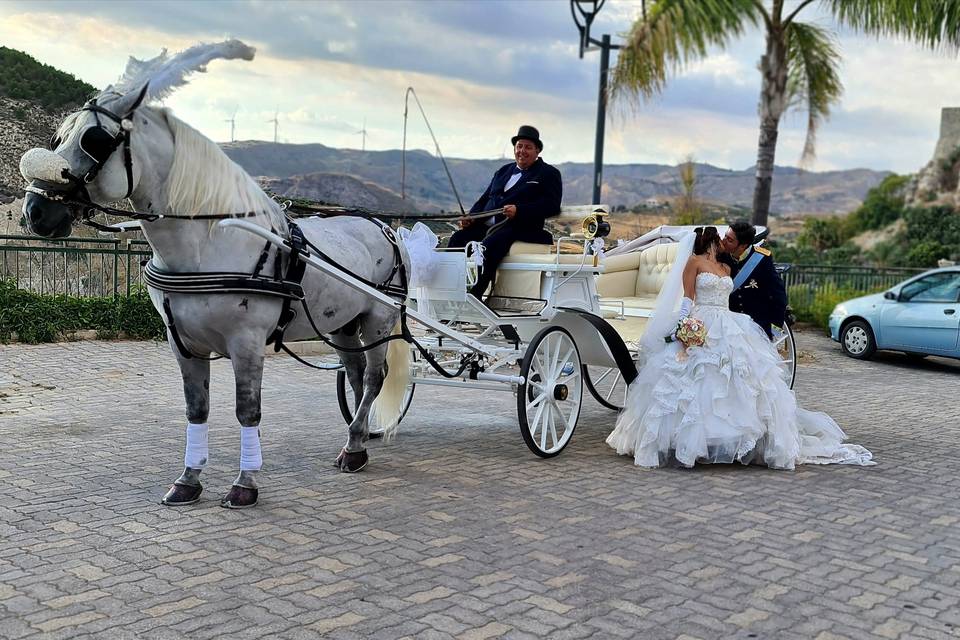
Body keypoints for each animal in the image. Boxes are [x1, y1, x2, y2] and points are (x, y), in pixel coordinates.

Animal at [18, 41, 408, 510]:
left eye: (95, 141)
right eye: (57, 138)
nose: (35, 211)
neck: (207, 246)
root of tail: (383, 227)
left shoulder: (247, 342)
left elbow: (247, 411)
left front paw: (245, 483)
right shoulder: (182, 342)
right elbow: (197, 409)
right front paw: (188, 479)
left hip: (378, 320)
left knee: (372, 378)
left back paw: (355, 446)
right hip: (342, 325)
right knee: (353, 373)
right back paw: (356, 439)